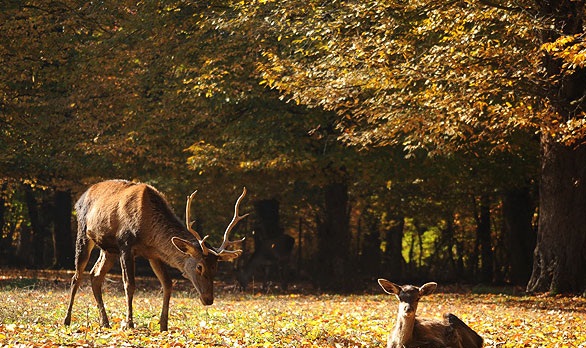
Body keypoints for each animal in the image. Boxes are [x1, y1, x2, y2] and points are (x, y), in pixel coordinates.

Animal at [64, 181, 246, 330]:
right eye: (199, 266)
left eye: (216, 267)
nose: (208, 299)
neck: (148, 230)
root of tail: (79, 199)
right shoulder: (125, 244)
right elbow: (129, 284)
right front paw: (129, 324)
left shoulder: (154, 254)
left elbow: (168, 284)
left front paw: (163, 325)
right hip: (84, 232)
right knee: (77, 276)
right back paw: (67, 320)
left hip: (108, 249)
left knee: (95, 275)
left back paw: (105, 322)